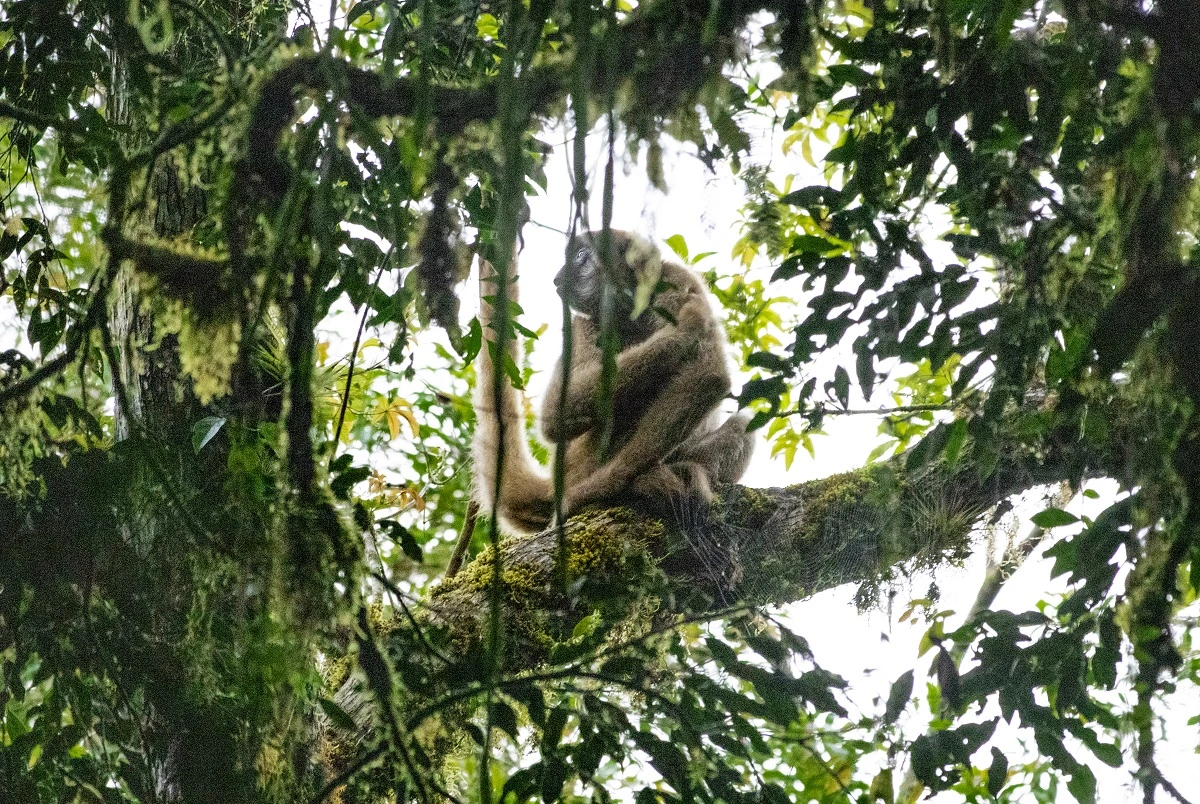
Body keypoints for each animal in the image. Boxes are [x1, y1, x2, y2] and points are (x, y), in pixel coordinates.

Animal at [472, 228, 753, 535]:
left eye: (581, 256)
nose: (558, 278)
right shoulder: (584, 320)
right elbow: (555, 414)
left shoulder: (676, 279)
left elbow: (708, 374)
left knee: (744, 422)